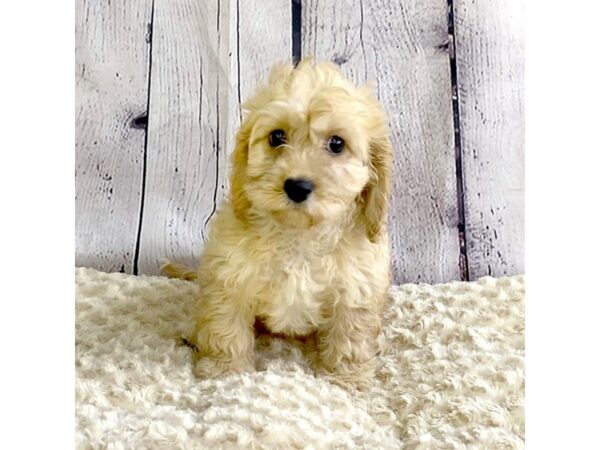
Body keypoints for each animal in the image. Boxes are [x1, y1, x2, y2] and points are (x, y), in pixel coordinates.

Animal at [162, 59, 392, 390]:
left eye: (337, 144)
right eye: (276, 137)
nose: (297, 186)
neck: (298, 235)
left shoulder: (356, 290)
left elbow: (349, 337)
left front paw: (344, 378)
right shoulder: (228, 278)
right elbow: (225, 327)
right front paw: (225, 372)